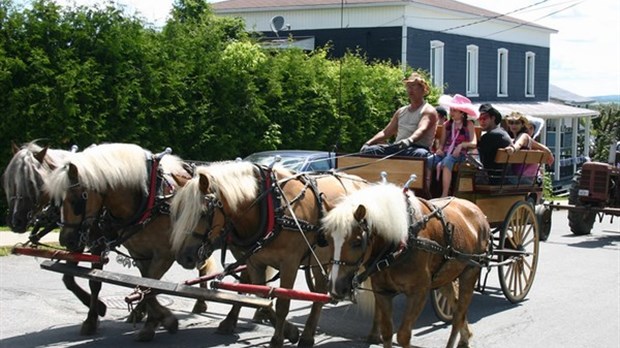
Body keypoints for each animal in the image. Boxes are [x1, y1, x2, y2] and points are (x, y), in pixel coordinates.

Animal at [46, 143, 217, 342]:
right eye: (57, 199)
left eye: (77, 199)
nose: (66, 239)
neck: (151, 197)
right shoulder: (136, 252)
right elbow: (139, 283)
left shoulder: (164, 254)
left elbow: (149, 286)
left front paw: (161, 321)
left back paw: (200, 303)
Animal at [170, 162, 368, 348]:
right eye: (178, 211)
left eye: (203, 213)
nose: (184, 258)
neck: (272, 206)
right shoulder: (254, 261)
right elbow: (260, 297)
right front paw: (289, 330)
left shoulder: (290, 263)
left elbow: (282, 302)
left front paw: (279, 338)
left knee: (320, 291)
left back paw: (307, 336)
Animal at [324, 182, 490, 348]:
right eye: (328, 239)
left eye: (357, 242)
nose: (336, 288)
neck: (401, 242)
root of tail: (477, 211)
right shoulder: (382, 291)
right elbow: (387, 332)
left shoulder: (419, 292)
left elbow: (403, 335)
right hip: (444, 277)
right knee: (456, 307)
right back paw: (465, 337)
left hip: (470, 271)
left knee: (459, 314)